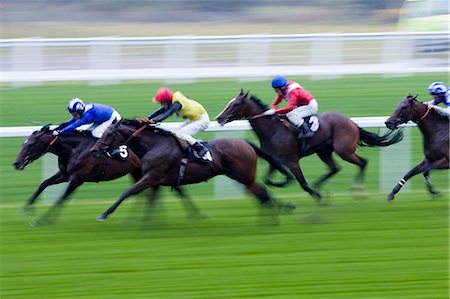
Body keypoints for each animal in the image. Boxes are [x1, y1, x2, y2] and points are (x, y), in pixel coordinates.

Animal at [12, 125, 200, 226]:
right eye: (23, 143)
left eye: (31, 145)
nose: (16, 163)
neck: (74, 148)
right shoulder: (65, 174)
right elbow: (44, 183)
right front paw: (28, 206)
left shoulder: (77, 178)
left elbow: (62, 198)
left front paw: (42, 220)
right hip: (139, 172)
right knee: (153, 192)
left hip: (146, 172)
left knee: (161, 191)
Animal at [91, 119, 296, 223]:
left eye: (109, 133)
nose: (94, 150)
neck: (154, 145)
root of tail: (246, 143)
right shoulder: (155, 180)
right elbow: (151, 199)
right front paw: (146, 221)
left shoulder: (151, 176)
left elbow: (128, 192)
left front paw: (105, 214)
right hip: (242, 178)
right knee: (262, 194)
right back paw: (272, 217)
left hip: (244, 177)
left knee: (263, 194)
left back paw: (271, 220)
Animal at [215, 90, 404, 200]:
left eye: (235, 104)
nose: (219, 118)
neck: (272, 130)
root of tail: (351, 122)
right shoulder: (274, 160)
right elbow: (268, 179)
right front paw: (284, 183)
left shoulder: (292, 161)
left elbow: (302, 183)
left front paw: (316, 195)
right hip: (324, 151)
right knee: (335, 168)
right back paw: (320, 184)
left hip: (344, 151)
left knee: (362, 162)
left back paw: (358, 192)